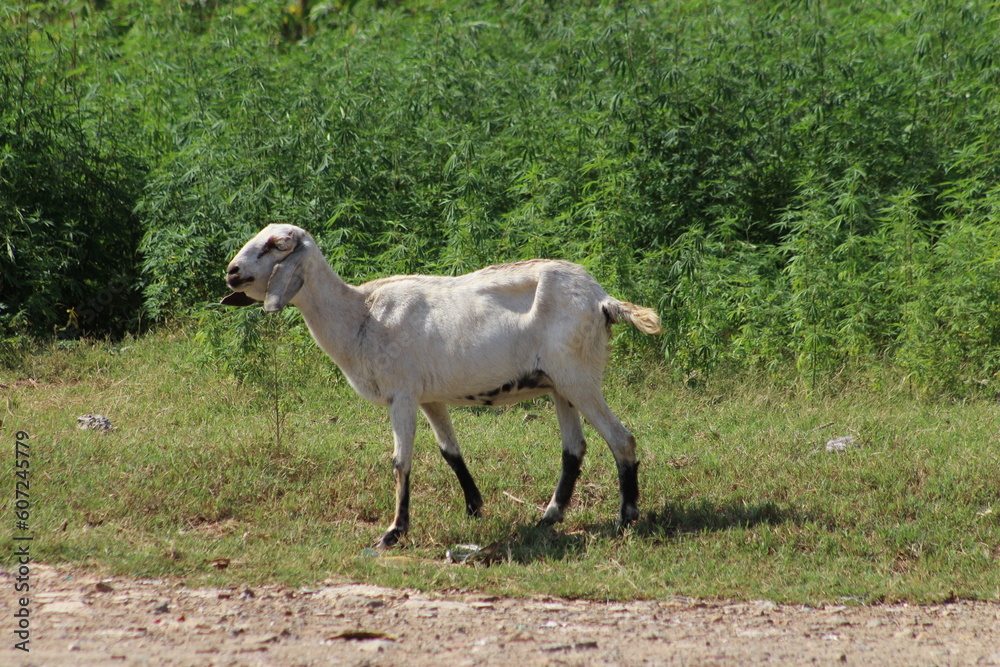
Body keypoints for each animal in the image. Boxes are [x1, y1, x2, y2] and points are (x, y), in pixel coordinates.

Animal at [223, 224, 662, 548]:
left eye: (277, 245)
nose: (231, 272)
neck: (360, 314)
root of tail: (602, 298)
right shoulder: (428, 397)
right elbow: (450, 452)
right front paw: (474, 507)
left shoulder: (401, 394)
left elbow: (400, 461)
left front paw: (393, 533)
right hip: (559, 385)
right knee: (574, 450)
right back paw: (548, 518)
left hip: (579, 376)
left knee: (621, 440)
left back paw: (625, 520)